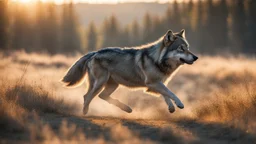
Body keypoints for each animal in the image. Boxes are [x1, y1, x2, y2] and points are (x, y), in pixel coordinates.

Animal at [61, 29, 198, 115]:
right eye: (181, 49)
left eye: (188, 48)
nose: (196, 57)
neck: (156, 60)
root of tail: (94, 52)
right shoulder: (152, 83)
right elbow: (171, 93)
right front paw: (179, 103)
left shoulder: (157, 83)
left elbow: (166, 94)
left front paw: (171, 107)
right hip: (101, 83)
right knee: (87, 96)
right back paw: (85, 113)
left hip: (113, 85)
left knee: (101, 96)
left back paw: (126, 109)